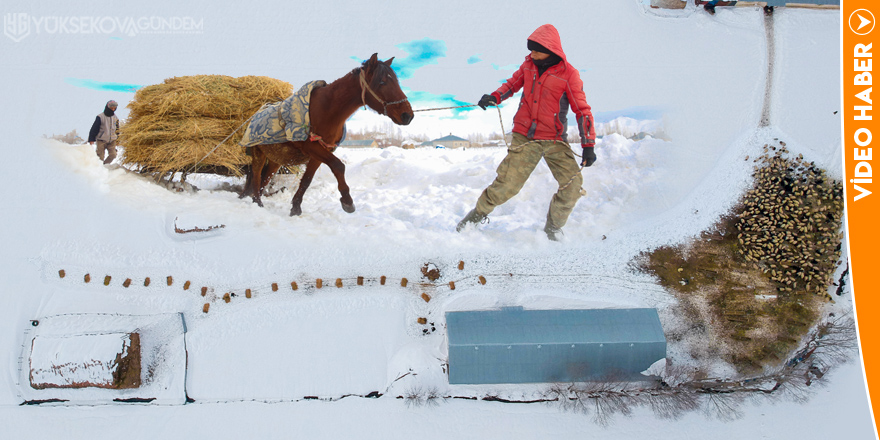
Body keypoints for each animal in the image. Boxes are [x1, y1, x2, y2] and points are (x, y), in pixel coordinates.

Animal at [241, 54, 412, 216]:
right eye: (382, 82)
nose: (407, 115)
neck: (326, 110)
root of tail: (255, 116)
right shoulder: (312, 147)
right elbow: (338, 166)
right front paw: (347, 201)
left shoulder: (320, 152)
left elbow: (307, 180)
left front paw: (295, 207)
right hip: (258, 154)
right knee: (256, 177)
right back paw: (257, 202)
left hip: (276, 159)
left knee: (264, 179)